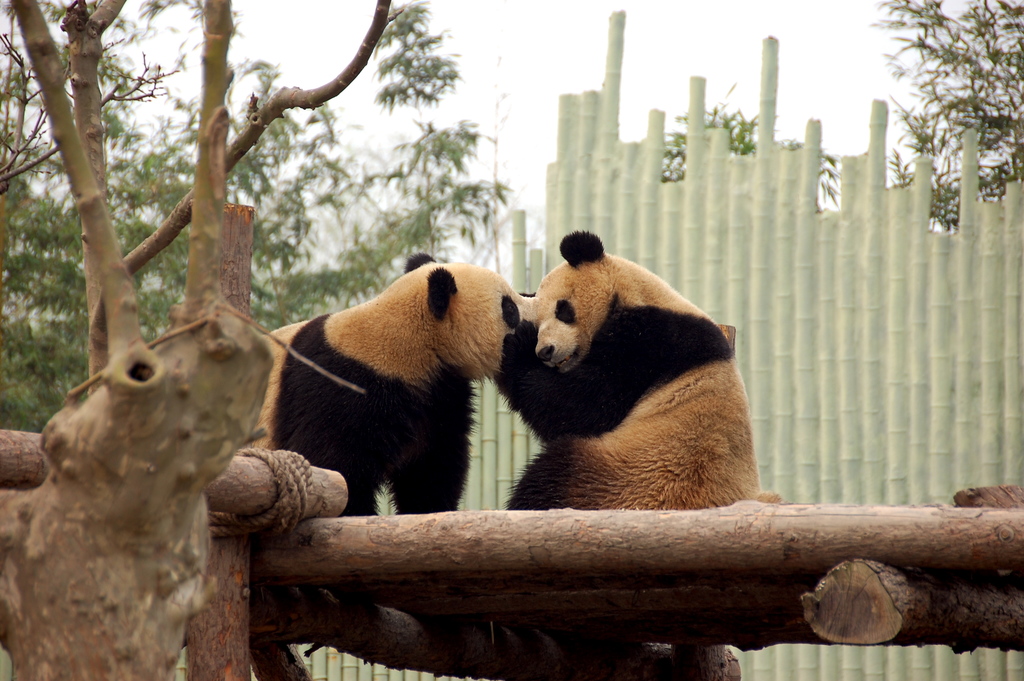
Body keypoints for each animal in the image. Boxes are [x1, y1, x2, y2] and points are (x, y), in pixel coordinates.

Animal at [498, 231, 776, 511]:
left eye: (562, 309)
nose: (545, 351)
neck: (632, 293)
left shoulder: (651, 342)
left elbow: (582, 406)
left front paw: (519, 345)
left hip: (636, 475)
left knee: (554, 473)